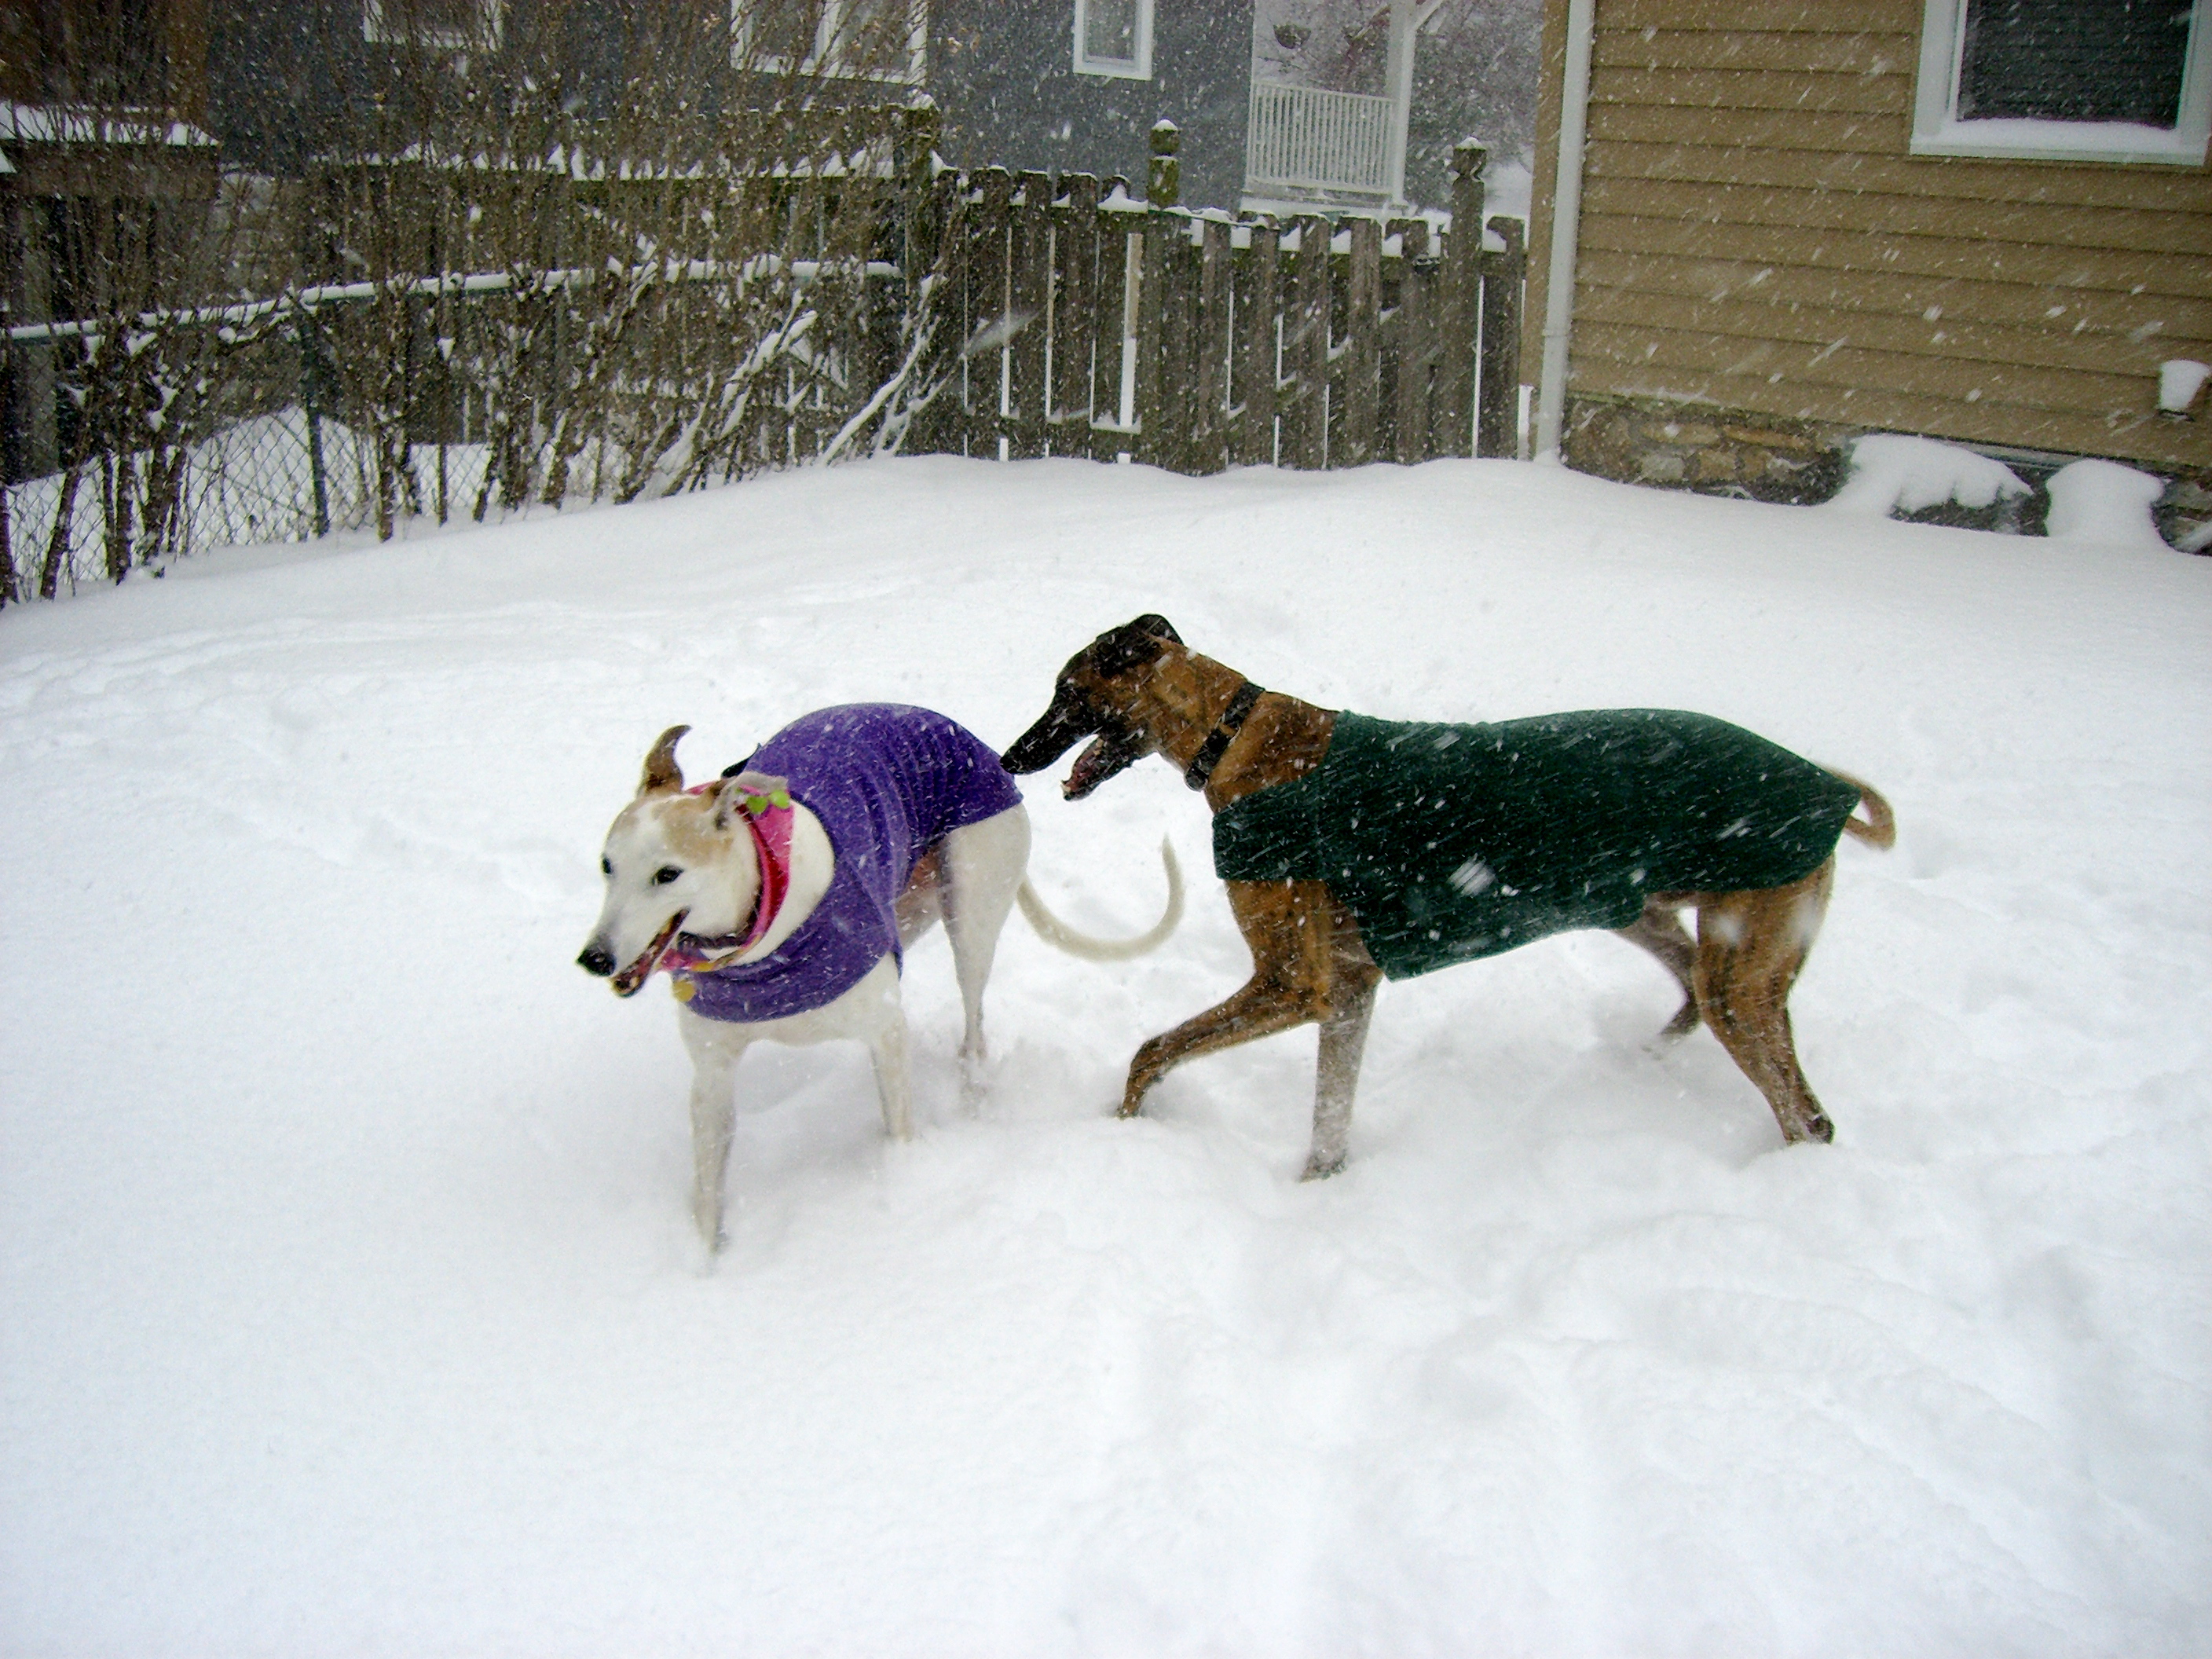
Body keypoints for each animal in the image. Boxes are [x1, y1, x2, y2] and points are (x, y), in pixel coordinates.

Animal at [579, 703, 1181, 1251]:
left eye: (668, 874)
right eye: (607, 866)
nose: (595, 959)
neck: (762, 931)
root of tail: (984, 750)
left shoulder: (885, 1029)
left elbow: (899, 1126)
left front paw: (905, 1189)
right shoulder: (712, 1075)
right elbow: (709, 1191)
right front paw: (704, 1268)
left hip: (972, 902)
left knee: (974, 1021)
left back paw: (973, 1097)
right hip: (908, 909)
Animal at [1001, 616, 1895, 1179]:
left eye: (1066, 691)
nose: (1011, 757)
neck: (1238, 736)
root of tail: (1829, 790)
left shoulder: (1293, 983)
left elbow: (1151, 1049)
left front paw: (1122, 1127)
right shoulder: (1349, 990)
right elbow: (1328, 1119)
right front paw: (1320, 1192)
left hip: (1738, 970)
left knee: (1807, 1117)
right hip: (1647, 913)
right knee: (1688, 991)